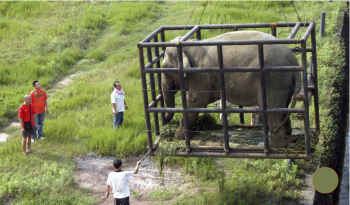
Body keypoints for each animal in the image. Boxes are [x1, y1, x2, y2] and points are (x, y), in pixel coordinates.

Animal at [161, 30, 300, 147]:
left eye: (165, 69)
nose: (165, 125)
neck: (188, 45)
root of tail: (294, 60)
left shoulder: (201, 75)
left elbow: (195, 101)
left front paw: (178, 136)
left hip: (273, 79)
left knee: (272, 109)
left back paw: (276, 145)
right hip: (283, 81)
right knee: (283, 108)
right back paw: (288, 133)